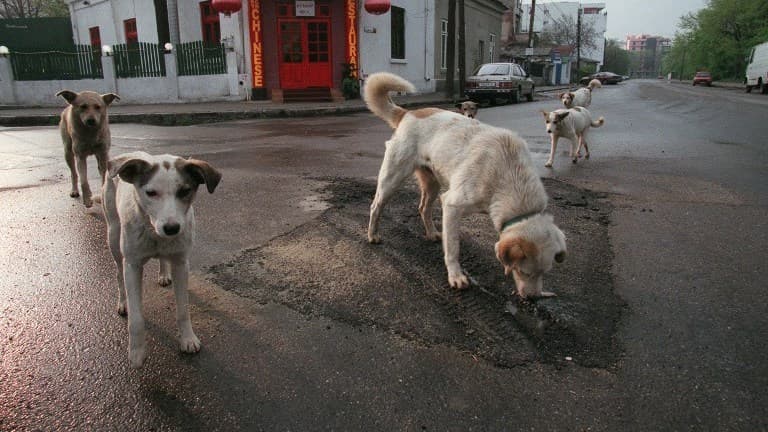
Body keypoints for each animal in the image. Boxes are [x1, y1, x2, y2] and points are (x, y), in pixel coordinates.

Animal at [103, 152, 222, 368]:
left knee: (162, 259)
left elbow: (183, 310)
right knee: (118, 273)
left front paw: (187, 339)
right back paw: (123, 302)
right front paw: (136, 353)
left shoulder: (181, 263)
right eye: (150, 193)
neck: (153, 231)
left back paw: (164, 273)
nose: (172, 228)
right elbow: (136, 318)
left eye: (185, 191)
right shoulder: (132, 265)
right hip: (113, 236)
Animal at [360, 72, 564, 298]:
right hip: (392, 179)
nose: (533, 299)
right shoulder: (451, 205)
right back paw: (373, 235)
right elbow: (452, 249)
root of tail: (407, 113)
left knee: (423, 208)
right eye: (523, 271)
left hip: (432, 185)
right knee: (375, 206)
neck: (511, 175)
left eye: (544, 272)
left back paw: (431, 233)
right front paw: (456, 276)